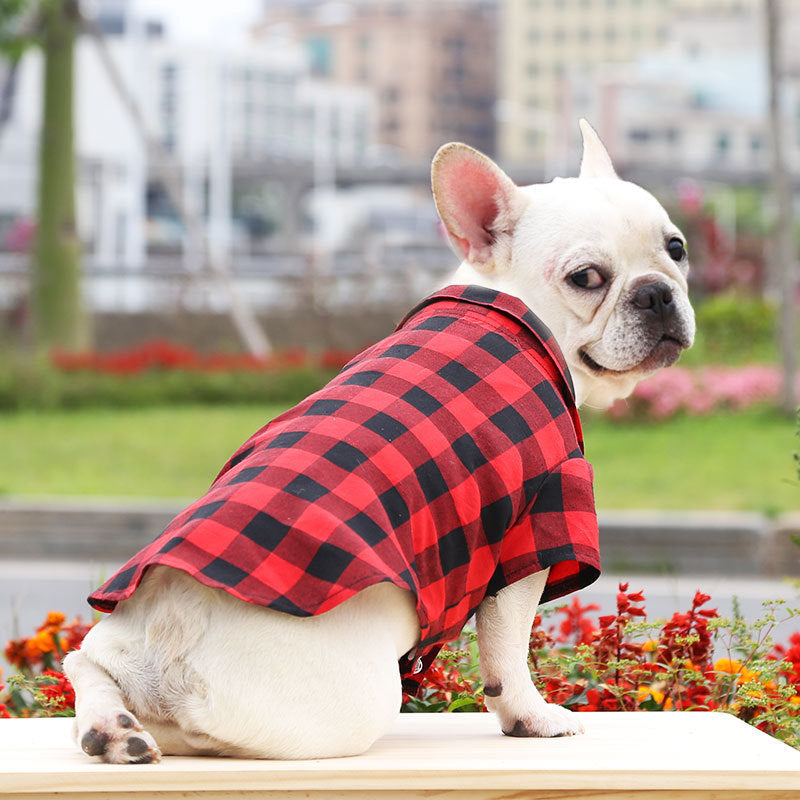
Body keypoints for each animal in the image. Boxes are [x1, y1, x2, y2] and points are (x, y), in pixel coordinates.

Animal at [65, 119, 692, 764]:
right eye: (586, 278)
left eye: (676, 249)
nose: (656, 292)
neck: (517, 311)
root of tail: (176, 648)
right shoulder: (537, 524)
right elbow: (508, 649)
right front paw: (532, 717)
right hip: (353, 702)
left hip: (121, 641)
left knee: (85, 661)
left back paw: (112, 728)